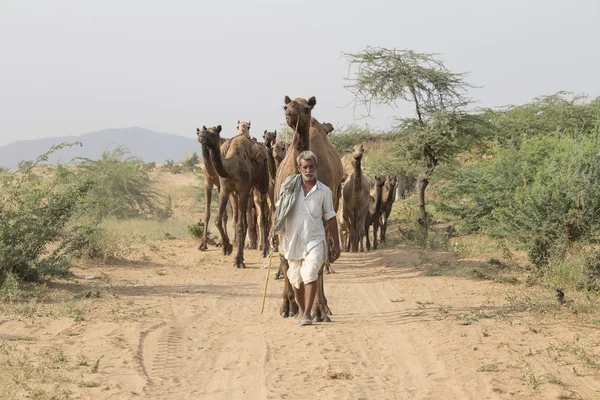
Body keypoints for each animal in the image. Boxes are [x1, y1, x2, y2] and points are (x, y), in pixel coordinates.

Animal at [199, 126, 270, 268]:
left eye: (213, 134)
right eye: (203, 131)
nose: (202, 136)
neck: (231, 168)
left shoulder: (243, 190)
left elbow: (240, 225)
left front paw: (238, 260)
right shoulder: (225, 189)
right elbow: (218, 220)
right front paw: (227, 247)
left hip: (262, 186)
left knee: (263, 216)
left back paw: (264, 250)